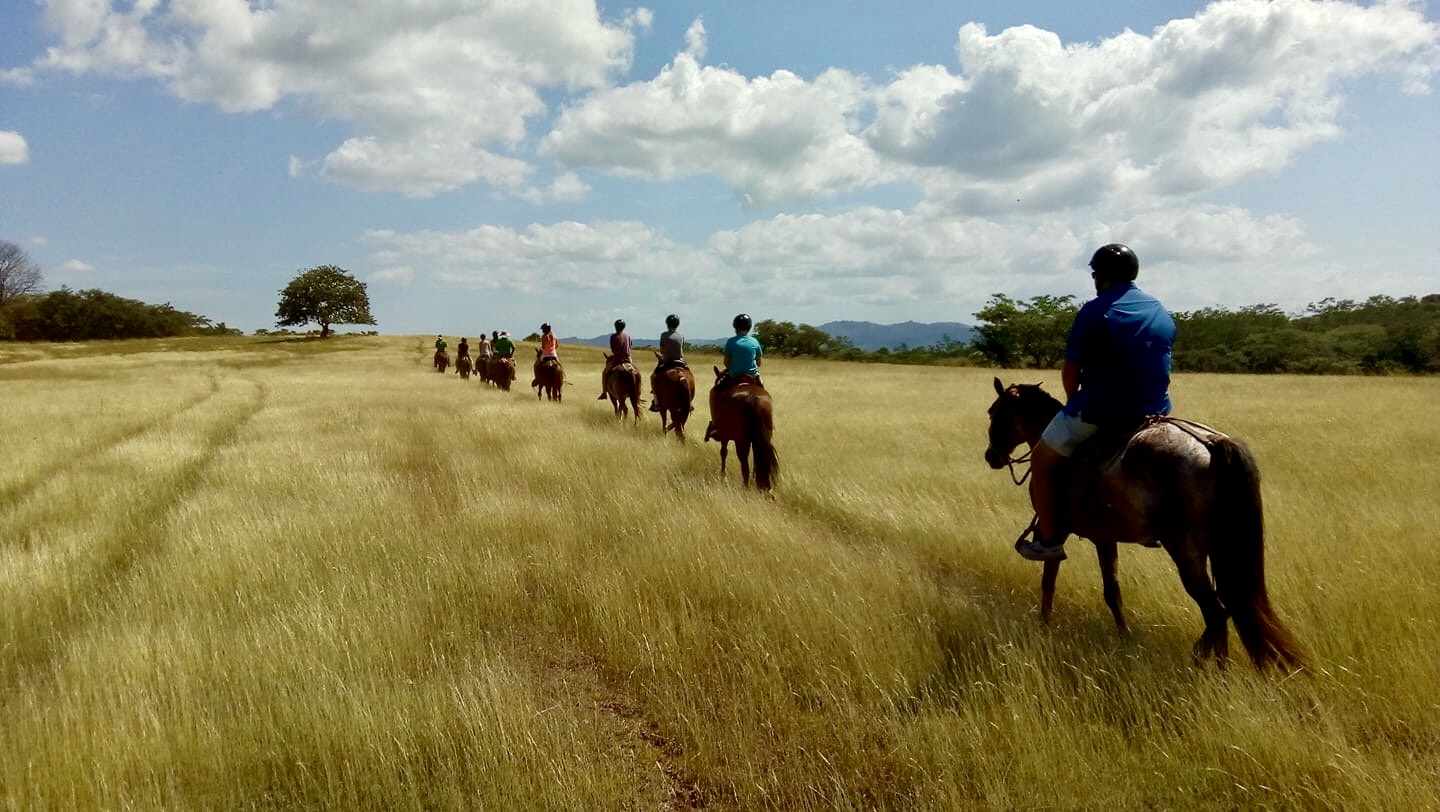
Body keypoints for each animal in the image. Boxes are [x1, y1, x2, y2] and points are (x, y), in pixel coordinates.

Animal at [984, 377, 1313, 668]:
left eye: (994, 413)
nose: (991, 457)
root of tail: (1212, 443)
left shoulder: (1056, 531)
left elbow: (1048, 582)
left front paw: (1043, 626)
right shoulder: (1104, 537)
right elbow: (1112, 592)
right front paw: (1124, 639)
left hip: (1185, 551)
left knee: (1217, 612)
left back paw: (1214, 668)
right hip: (1217, 547)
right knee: (1228, 606)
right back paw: (1205, 656)